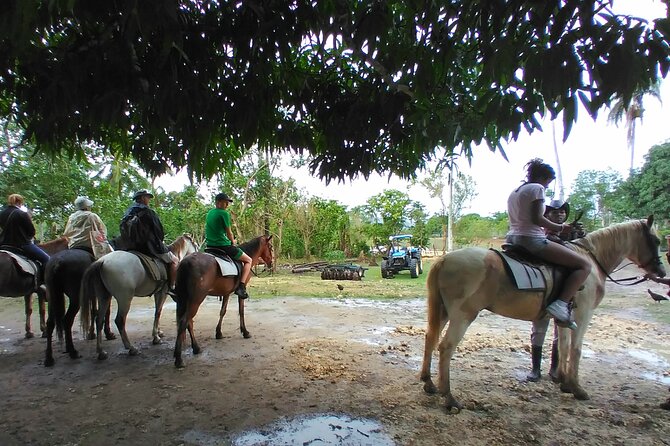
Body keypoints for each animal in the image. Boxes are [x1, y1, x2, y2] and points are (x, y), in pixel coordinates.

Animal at [173, 235, 274, 368]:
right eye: (270, 247)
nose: (271, 263)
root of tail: (185, 262)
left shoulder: (226, 293)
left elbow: (223, 311)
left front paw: (218, 333)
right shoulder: (240, 292)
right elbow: (241, 311)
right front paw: (245, 332)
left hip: (184, 300)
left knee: (187, 322)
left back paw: (194, 348)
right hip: (196, 299)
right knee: (185, 321)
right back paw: (179, 359)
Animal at [420, 216, 666, 412]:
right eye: (656, 241)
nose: (661, 271)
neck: (591, 261)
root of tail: (444, 259)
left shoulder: (565, 318)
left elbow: (564, 346)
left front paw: (564, 382)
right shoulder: (583, 315)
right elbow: (576, 349)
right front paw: (577, 388)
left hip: (442, 310)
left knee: (431, 338)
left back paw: (429, 383)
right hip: (463, 314)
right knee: (446, 346)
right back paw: (449, 398)